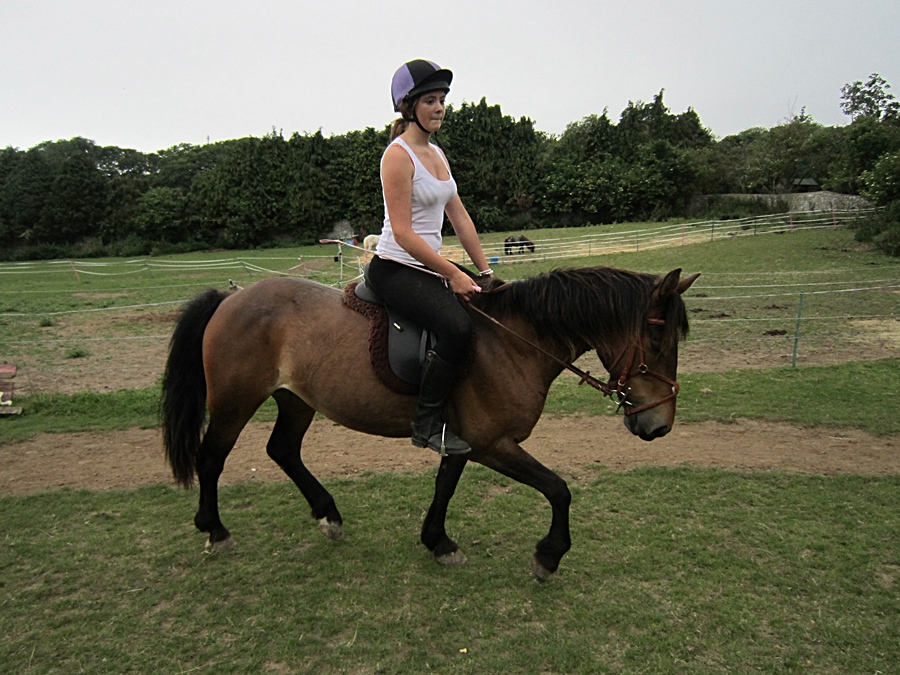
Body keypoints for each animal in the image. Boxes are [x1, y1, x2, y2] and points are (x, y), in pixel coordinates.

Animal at [161, 266, 698, 581]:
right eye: (658, 341)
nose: (659, 425)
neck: (511, 342)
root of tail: (230, 299)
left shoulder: (462, 439)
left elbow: (445, 485)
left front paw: (437, 542)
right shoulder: (493, 443)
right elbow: (558, 488)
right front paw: (549, 556)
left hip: (295, 400)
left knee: (284, 451)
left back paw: (328, 515)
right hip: (236, 402)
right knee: (212, 458)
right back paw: (215, 530)